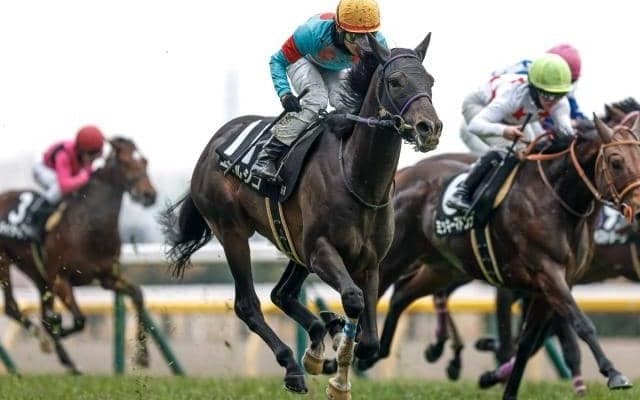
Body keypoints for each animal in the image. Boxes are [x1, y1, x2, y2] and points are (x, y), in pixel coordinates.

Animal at [0, 137, 157, 374]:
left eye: (145, 161)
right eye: (126, 162)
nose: (150, 195)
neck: (88, 228)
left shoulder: (107, 277)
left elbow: (138, 295)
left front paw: (143, 356)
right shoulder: (60, 280)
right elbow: (79, 320)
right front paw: (58, 329)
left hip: (38, 275)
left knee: (33, 311)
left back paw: (69, 363)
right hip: (5, 263)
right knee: (12, 307)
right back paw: (47, 342)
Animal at [161, 33, 442, 398]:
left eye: (430, 81)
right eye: (395, 81)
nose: (429, 128)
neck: (358, 177)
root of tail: (211, 147)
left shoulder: (369, 263)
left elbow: (369, 340)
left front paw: (333, 347)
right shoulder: (321, 250)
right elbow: (352, 300)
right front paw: (338, 380)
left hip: (294, 245)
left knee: (281, 294)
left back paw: (318, 342)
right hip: (233, 231)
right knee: (248, 304)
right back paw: (293, 365)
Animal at [357, 115, 640, 399]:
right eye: (615, 161)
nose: (637, 210)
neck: (554, 200)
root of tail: (403, 175)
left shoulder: (549, 287)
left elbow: (527, 343)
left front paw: (507, 389)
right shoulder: (547, 273)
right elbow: (581, 323)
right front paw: (613, 373)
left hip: (443, 267)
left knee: (402, 294)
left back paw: (378, 352)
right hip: (392, 259)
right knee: (373, 295)